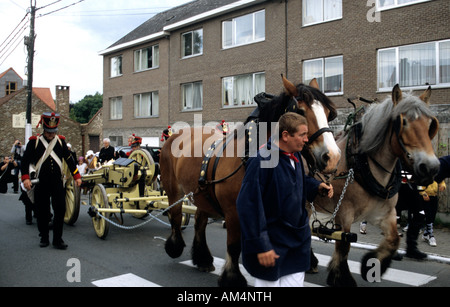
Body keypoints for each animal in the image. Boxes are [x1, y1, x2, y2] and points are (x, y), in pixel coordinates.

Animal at [161, 76, 342, 286]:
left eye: (328, 113)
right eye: (301, 111)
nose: (332, 157)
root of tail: (175, 134)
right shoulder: (234, 211)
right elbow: (233, 245)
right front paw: (232, 277)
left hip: (203, 193)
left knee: (200, 220)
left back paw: (202, 258)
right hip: (173, 189)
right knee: (175, 215)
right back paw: (175, 246)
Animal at [310, 85, 440, 288]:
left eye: (430, 125)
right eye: (403, 122)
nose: (430, 167)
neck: (361, 167)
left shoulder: (384, 213)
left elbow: (393, 240)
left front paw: (370, 265)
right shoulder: (344, 214)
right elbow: (344, 245)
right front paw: (341, 277)